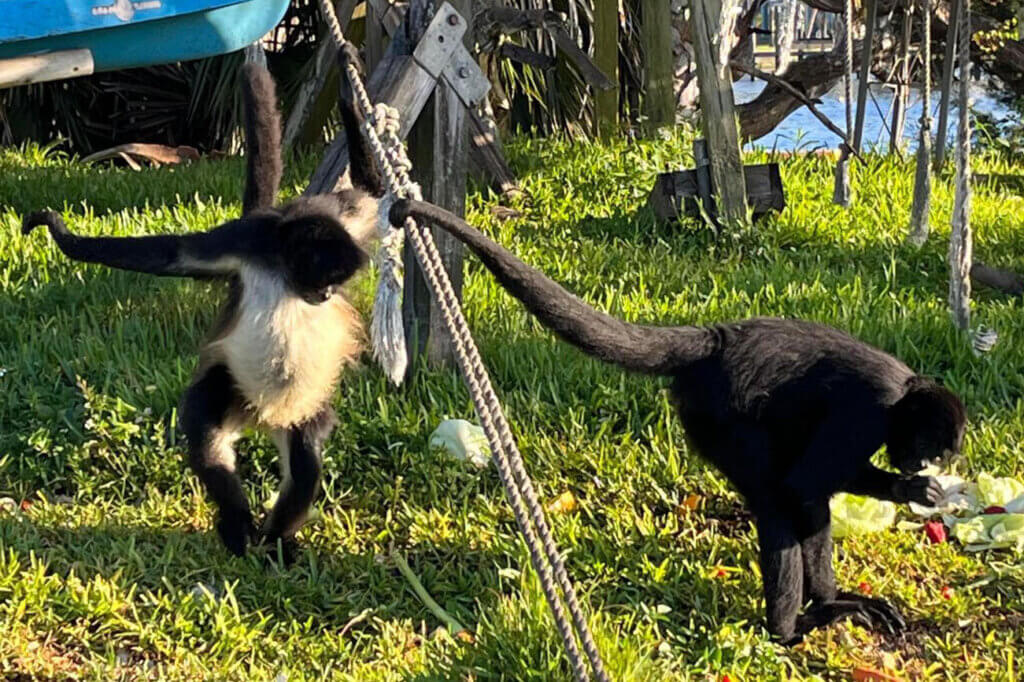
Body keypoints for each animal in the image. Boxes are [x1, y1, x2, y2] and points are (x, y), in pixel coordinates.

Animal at [22, 45, 384, 564]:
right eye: (323, 282)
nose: (323, 297)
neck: (282, 257)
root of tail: (258, 418)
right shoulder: (246, 240)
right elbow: (173, 254)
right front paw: (63, 236)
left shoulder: (340, 220)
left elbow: (374, 196)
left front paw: (351, 97)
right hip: (228, 387)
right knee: (210, 446)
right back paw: (238, 530)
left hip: (294, 411)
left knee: (304, 462)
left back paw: (275, 542)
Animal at [387, 198, 967, 645]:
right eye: (930, 448)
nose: (919, 462)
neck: (904, 395)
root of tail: (716, 339)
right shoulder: (868, 410)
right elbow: (804, 487)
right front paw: (838, 588)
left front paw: (914, 493)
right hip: (717, 415)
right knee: (776, 497)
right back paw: (792, 629)